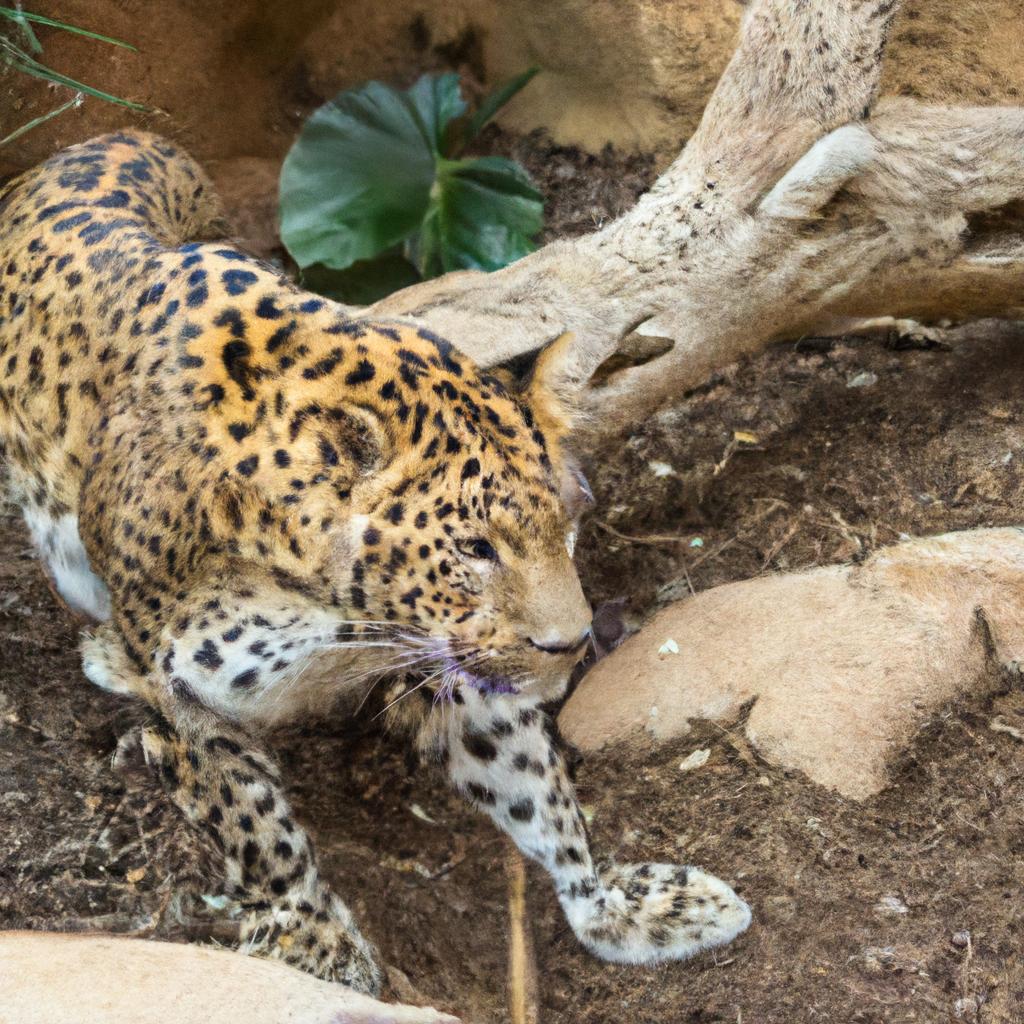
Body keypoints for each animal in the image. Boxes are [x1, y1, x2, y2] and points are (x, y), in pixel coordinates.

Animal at [0, 132, 753, 995]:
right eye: (475, 548)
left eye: (567, 522)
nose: (569, 646)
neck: (337, 615)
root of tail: (111, 139)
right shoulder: (181, 687)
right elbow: (249, 815)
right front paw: (311, 934)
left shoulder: (461, 662)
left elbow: (532, 783)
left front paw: (609, 902)